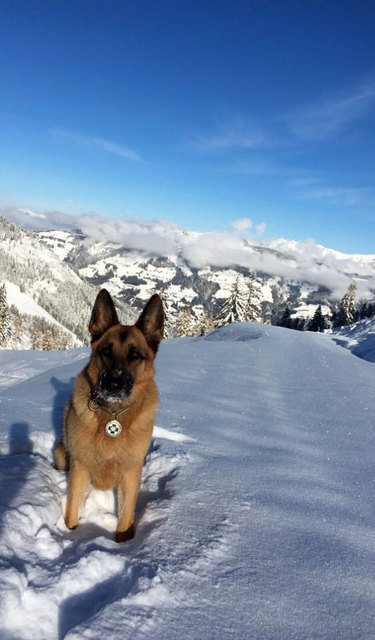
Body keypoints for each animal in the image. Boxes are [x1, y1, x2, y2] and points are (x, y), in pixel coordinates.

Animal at [54, 288, 164, 544]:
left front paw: (123, 542)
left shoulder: (131, 471)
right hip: (62, 455)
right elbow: (72, 510)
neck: (114, 413)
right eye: (106, 352)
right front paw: (71, 536)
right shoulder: (80, 468)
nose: (113, 385)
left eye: (135, 355)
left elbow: (125, 515)